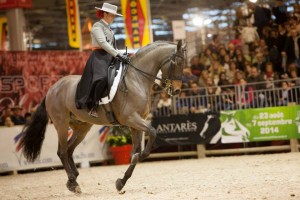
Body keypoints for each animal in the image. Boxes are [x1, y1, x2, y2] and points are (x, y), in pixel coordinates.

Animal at [18, 40, 185, 194]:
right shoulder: (132, 119)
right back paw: (73, 182)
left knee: (70, 150)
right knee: (62, 151)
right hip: (61, 124)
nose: (177, 90)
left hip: (82, 127)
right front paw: (138, 160)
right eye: (176, 62)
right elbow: (151, 135)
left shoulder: (136, 124)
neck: (136, 79)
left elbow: (135, 153)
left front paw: (121, 182)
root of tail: (52, 88)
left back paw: (73, 178)